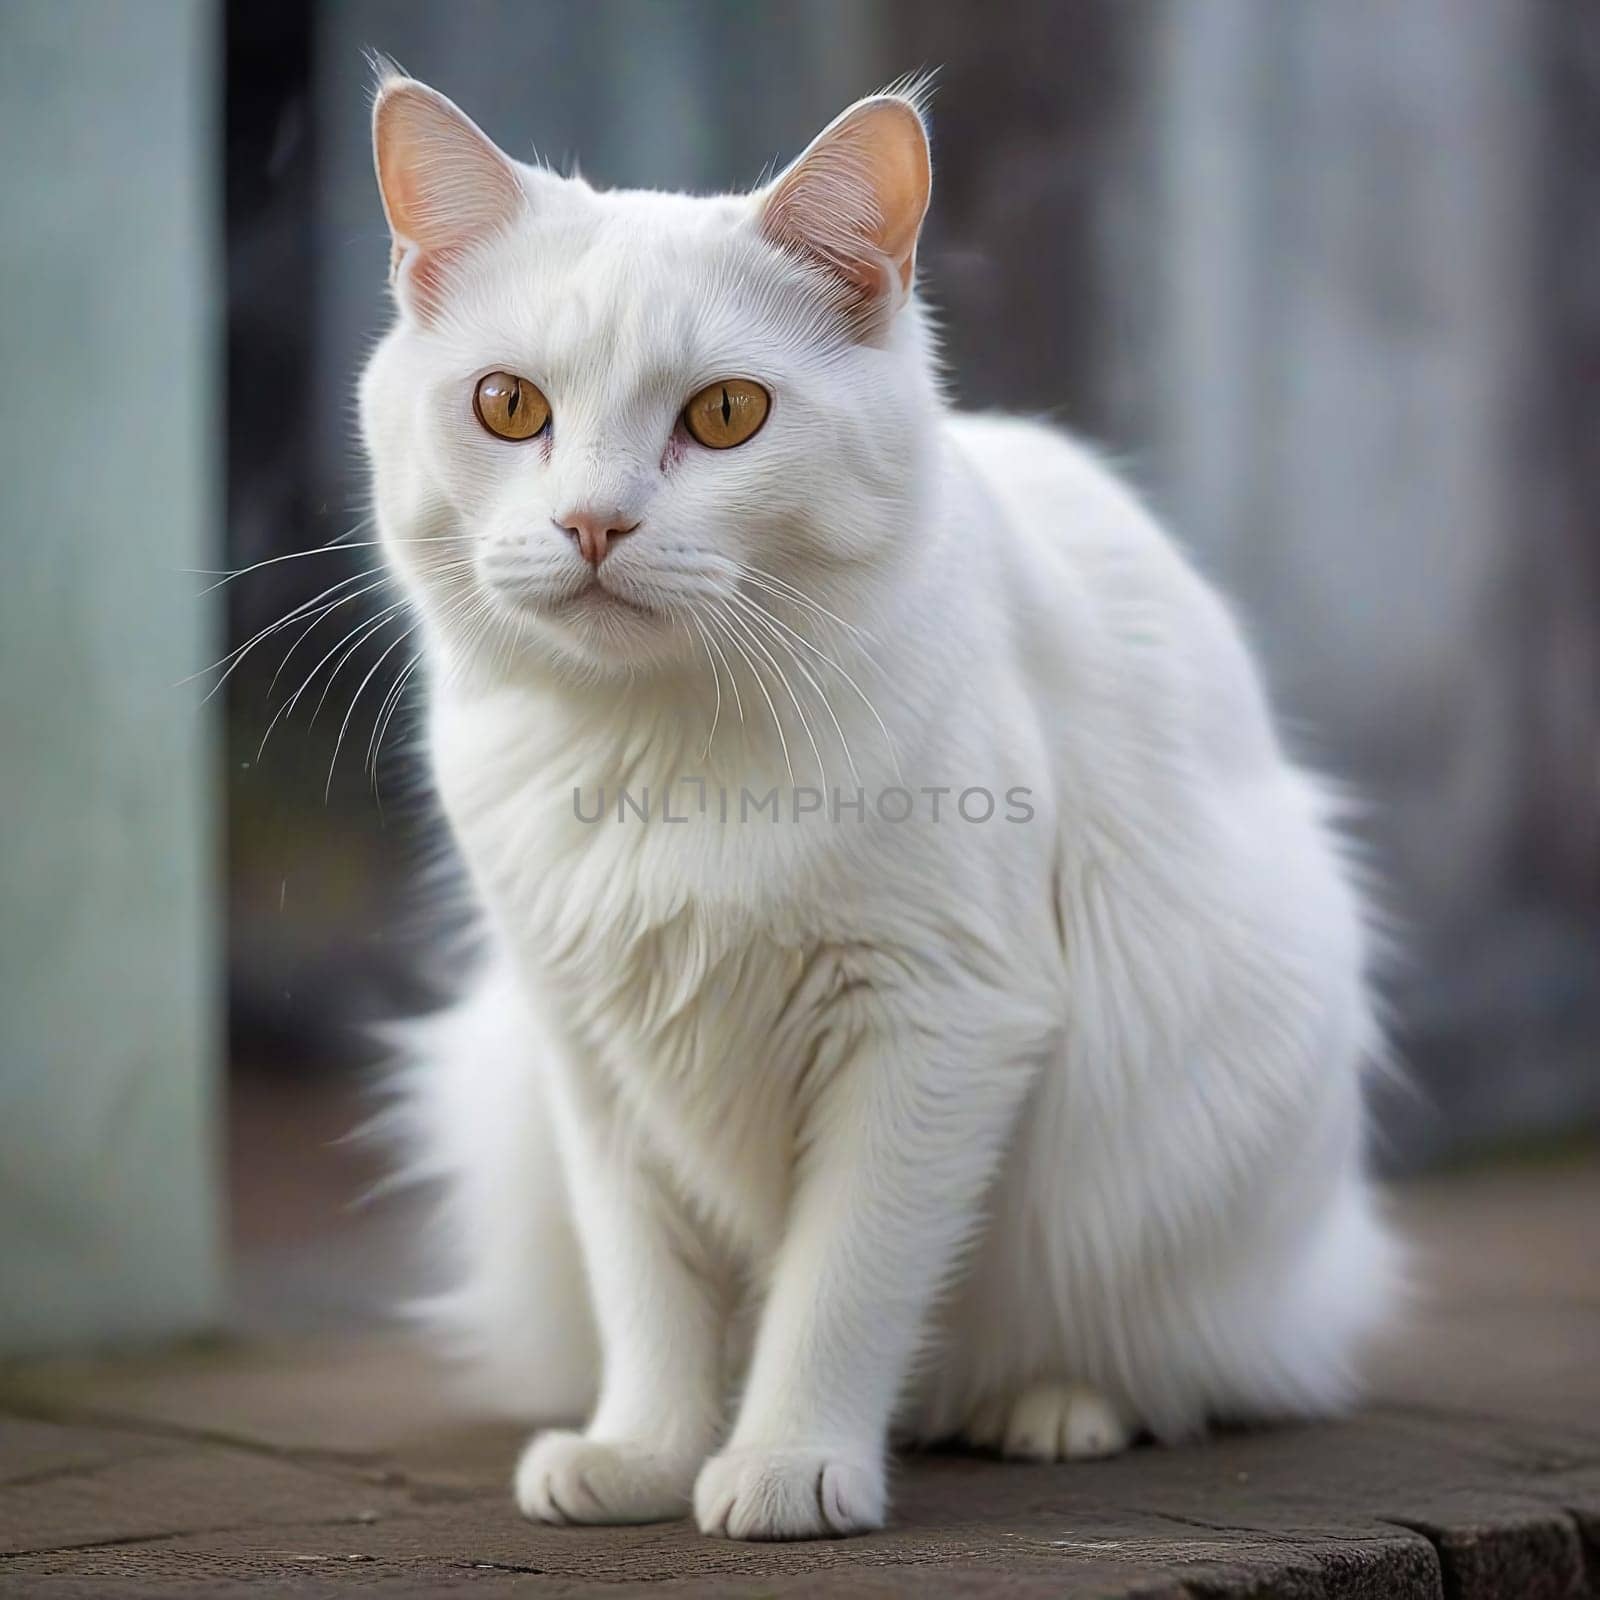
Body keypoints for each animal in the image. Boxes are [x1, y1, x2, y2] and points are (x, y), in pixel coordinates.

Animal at [366, 72, 1401, 1536]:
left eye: (726, 415)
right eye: (508, 406)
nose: (592, 525)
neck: (658, 755)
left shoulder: (938, 1020)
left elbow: (842, 1281)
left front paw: (788, 1463)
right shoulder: (593, 1054)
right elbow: (649, 1288)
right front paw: (642, 1453)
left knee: (1185, 1365)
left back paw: (1054, 1409)